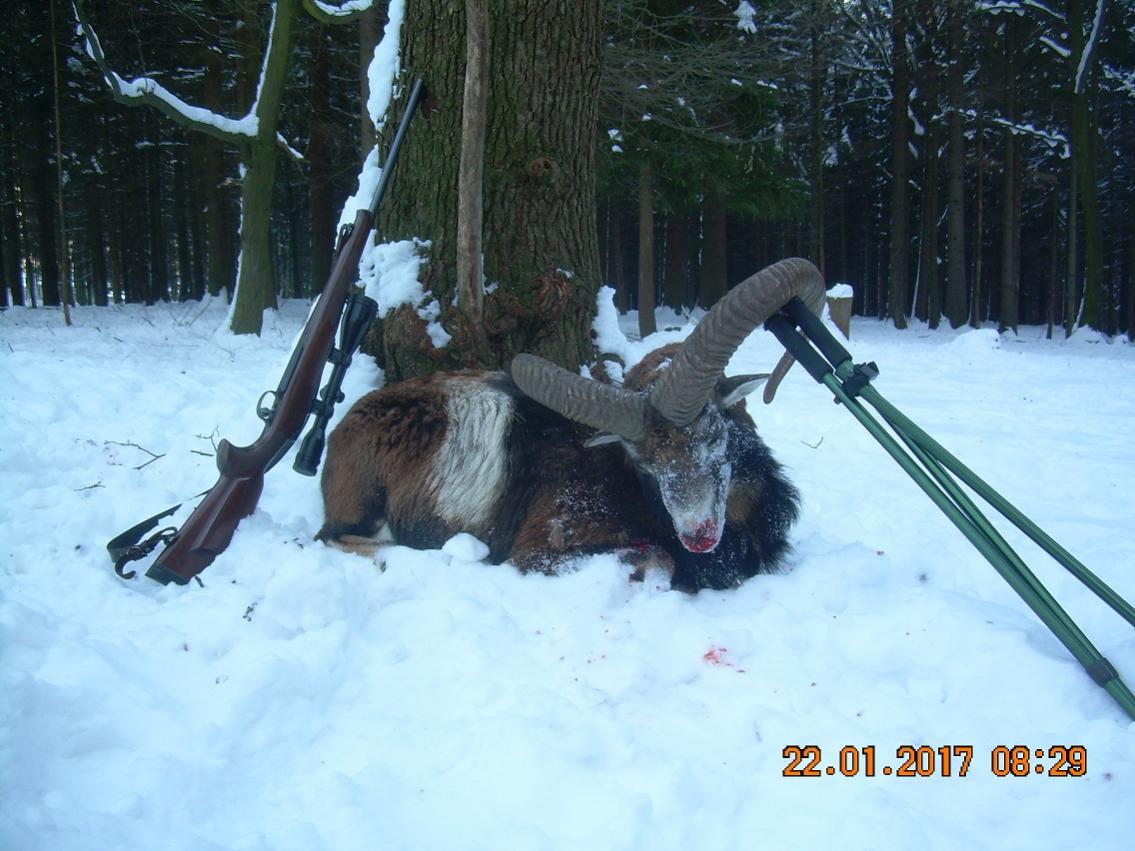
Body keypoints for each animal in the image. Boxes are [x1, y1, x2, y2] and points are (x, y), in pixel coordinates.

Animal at [317, 258, 826, 591]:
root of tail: (343, 428)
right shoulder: (546, 548)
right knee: (336, 538)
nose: (697, 534)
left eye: (714, 435)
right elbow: (659, 560)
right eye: (645, 465)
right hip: (364, 511)